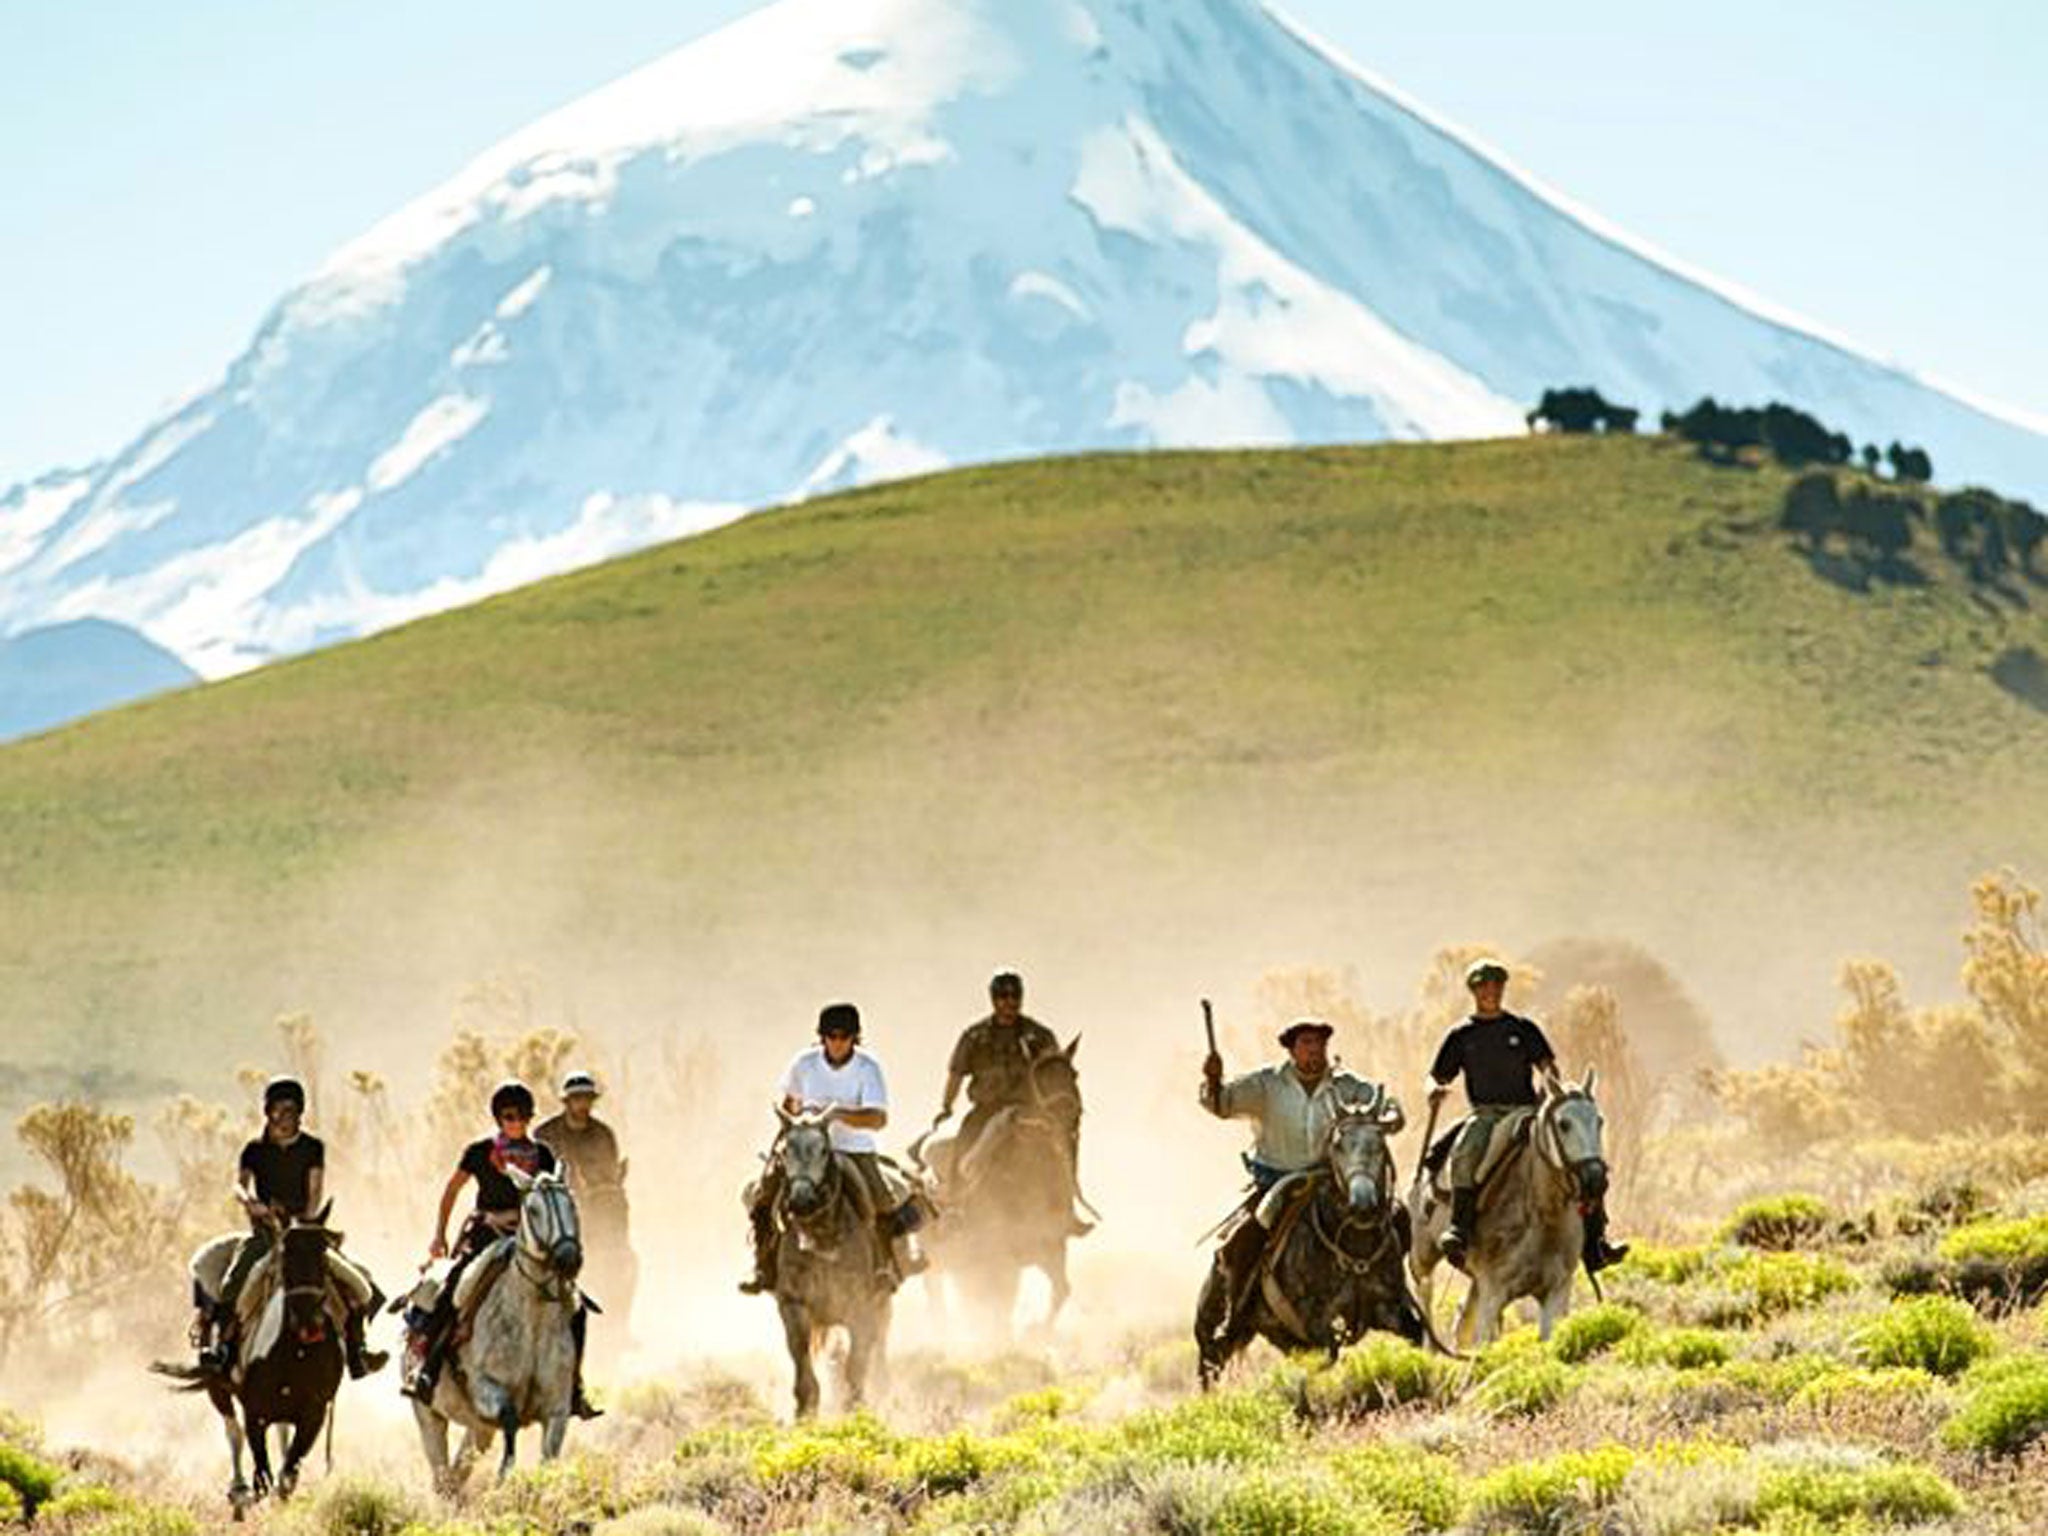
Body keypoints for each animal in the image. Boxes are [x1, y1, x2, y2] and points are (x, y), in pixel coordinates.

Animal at [407, 1171, 585, 1499]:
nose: (568, 1259)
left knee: (459, 1468)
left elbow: (549, 1459)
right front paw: (504, 1477)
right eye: (533, 1210)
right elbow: (510, 1419)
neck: (532, 1318)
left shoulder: (557, 1408)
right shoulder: (485, 1388)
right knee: (441, 1473)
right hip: (428, 1415)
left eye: (572, 1205)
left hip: (477, 1427)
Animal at [765, 1114, 892, 1425]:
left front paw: (856, 1412)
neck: (822, 1236)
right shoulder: (793, 1304)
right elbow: (801, 1359)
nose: (801, 1200)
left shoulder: (860, 1308)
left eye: (823, 1150)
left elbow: (856, 1366)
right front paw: (804, 1414)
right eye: (785, 1150)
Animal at [917, 1040, 1089, 1343]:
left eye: (1073, 1073)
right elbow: (998, 1305)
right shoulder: (998, 1256)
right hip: (937, 1261)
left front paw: (1037, 1334)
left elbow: (1061, 1290)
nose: (1068, 1111)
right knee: (941, 1298)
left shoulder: (1051, 1247)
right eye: (1039, 1076)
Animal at [1196, 1097, 1433, 1392]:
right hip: (1212, 1336)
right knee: (1209, 1369)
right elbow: (1327, 1355)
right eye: (1338, 1146)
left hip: (1276, 1334)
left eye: (1379, 1144)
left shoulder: (1388, 1308)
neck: (1354, 1250)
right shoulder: (1312, 1322)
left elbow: (1414, 1333)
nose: (1363, 1205)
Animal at [1409, 1073, 1613, 1351]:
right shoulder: (1494, 1292)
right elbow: (1484, 1342)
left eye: (1599, 1121)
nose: (1595, 1179)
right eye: (1564, 1124)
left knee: (1462, 1326)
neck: (1543, 1215)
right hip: (1424, 1255)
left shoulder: (1557, 1290)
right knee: (1426, 1293)